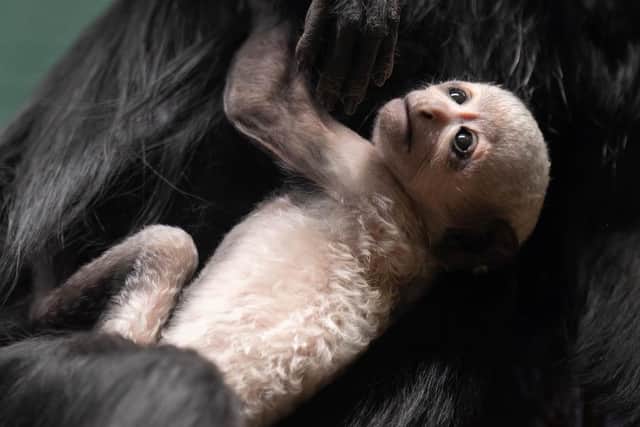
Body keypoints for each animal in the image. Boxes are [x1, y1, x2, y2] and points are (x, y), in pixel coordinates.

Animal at [30, 12, 550, 427]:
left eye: (462, 142)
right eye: (456, 93)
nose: (424, 108)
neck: (422, 222)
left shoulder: (361, 170)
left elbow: (258, 102)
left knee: (170, 245)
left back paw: (40, 307)